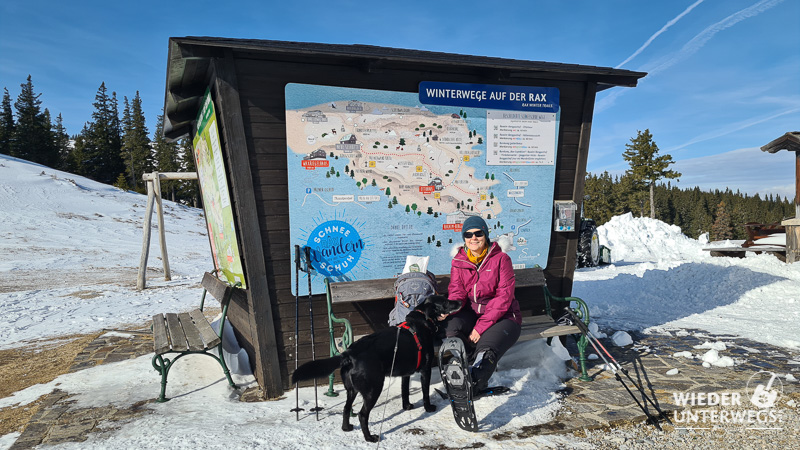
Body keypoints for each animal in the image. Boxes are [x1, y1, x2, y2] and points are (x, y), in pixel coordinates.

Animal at [290, 294, 460, 442]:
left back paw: (346, 428)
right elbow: (425, 392)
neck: (421, 320)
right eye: (445, 301)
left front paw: (407, 406)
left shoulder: (406, 374)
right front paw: (429, 408)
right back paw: (370, 438)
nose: (459, 302)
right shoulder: (425, 369)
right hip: (374, 388)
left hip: (351, 390)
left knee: (346, 408)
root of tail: (349, 354)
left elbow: (405, 391)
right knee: (362, 415)